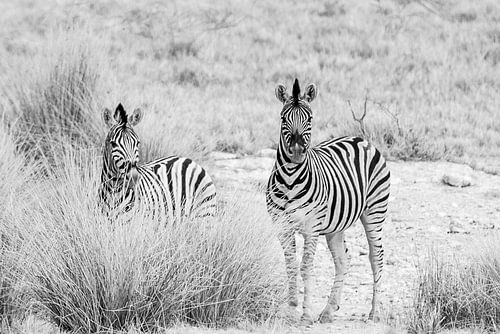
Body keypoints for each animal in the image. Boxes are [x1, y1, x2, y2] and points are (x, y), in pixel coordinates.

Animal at [266, 78, 390, 324]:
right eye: (283, 118)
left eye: (310, 118)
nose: (296, 151)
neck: (290, 178)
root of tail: (360, 138)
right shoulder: (281, 225)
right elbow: (291, 265)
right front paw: (291, 308)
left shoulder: (311, 226)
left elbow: (305, 267)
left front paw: (305, 314)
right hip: (336, 226)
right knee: (343, 260)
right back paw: (329, 310)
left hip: (374, 212)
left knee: (376, 257)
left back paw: (373, 312)